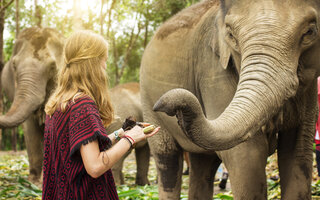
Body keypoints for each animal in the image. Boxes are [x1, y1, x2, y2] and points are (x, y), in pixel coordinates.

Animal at [140, 0, 320, 199]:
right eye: (231, 35)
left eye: (310, 31)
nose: (168, 107)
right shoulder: (212, 70)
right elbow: (247, 156)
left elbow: (298, 152)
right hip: (147, 101)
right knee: (168, 160)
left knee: (203, 163)